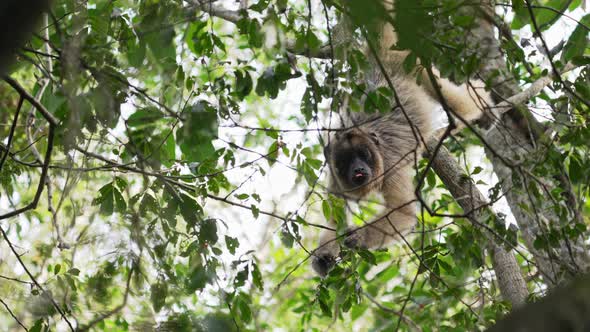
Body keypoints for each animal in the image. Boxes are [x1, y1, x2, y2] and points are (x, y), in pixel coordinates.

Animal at [312, 0, 498, 278]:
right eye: (345, 161)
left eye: (363, 155)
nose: (358, 169)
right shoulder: (335, 178)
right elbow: (335, 216)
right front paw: (323, 257)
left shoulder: (390, 167)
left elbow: (403, 212)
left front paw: (358, 238)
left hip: (414, 65)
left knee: (456, 102)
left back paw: (483, 102)